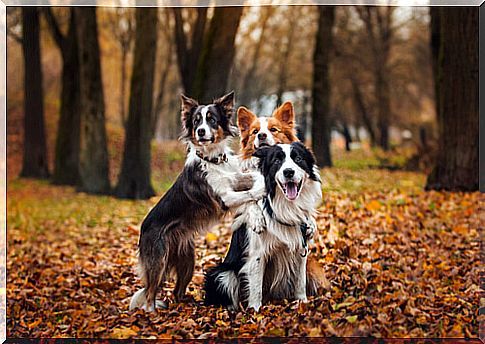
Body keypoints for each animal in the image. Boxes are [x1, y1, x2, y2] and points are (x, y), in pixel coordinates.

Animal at [129, 91, 264, 312]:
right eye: (196, 121)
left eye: (212, 119)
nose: (200, 131)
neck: (213, 160)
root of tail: (143, 228)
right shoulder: (224, 198)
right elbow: (251, 195)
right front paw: (263, 194)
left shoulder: (235, 180)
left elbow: (250, 188)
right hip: (158, 260)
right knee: (149, 294)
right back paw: (152, 312)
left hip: (188, 260)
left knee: (177, 291)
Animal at [204, 141, 322, 310]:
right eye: (277, 161)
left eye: (298, 158)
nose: (288, 172)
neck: (285, 205)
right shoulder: (257, 254)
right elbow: (256, 287)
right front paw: (255, 310)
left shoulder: (301, 248)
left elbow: (300, 282)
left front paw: (302, 303)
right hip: (221, 274)